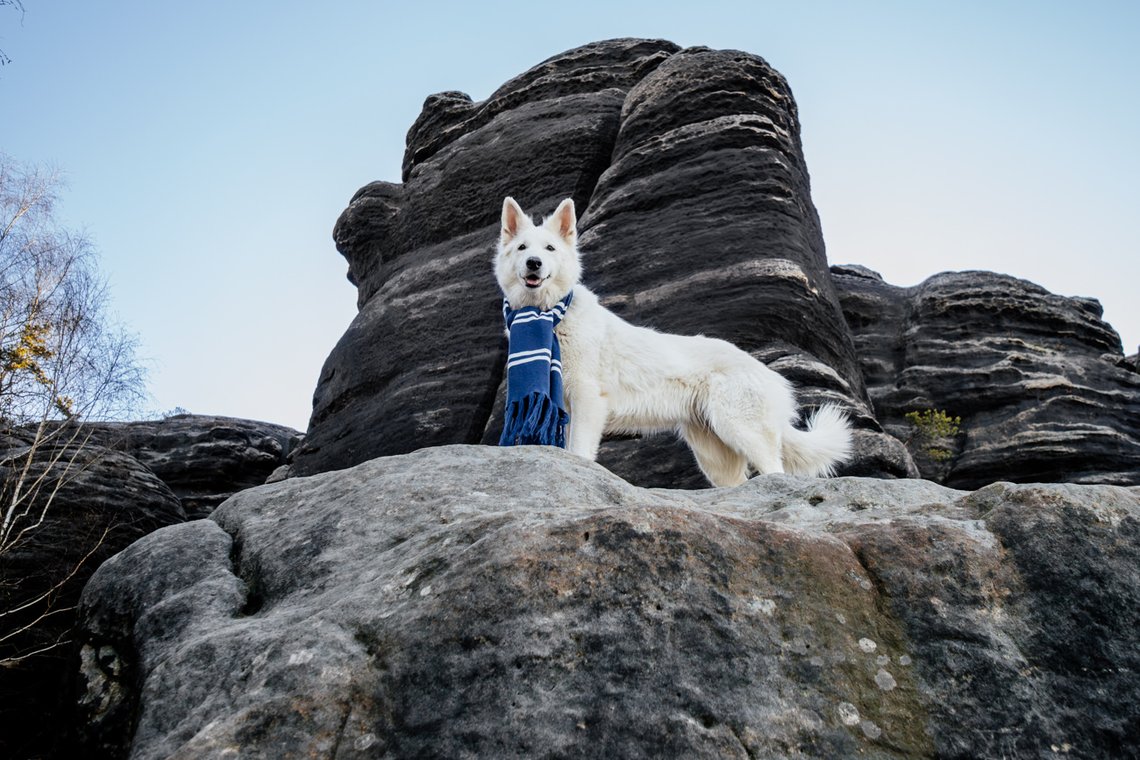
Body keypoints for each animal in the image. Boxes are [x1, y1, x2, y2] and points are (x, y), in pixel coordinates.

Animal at [494, 195, 852, 487]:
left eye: (550, 249)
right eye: (523, 248)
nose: (534, 264)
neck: (550, 316)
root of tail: (768, 372)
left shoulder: (587, 398)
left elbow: (579, 451)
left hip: (742, 431)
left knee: (775, 470)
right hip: (714, 453)